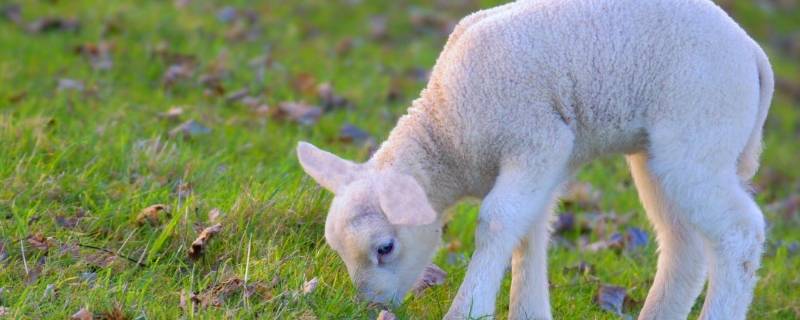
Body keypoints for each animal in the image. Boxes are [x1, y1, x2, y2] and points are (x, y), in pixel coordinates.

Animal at [296, 0, 772, 318]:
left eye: (385, 248)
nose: (370, 307)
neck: (448, 130)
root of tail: (752, 52)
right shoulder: (548, 159)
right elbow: (529, 229)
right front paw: (527, 311)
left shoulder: (536, 139)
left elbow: (497, 221)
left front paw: (469, 308)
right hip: (658, 151)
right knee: (682, 244)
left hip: (699, 132)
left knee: (740, 233)